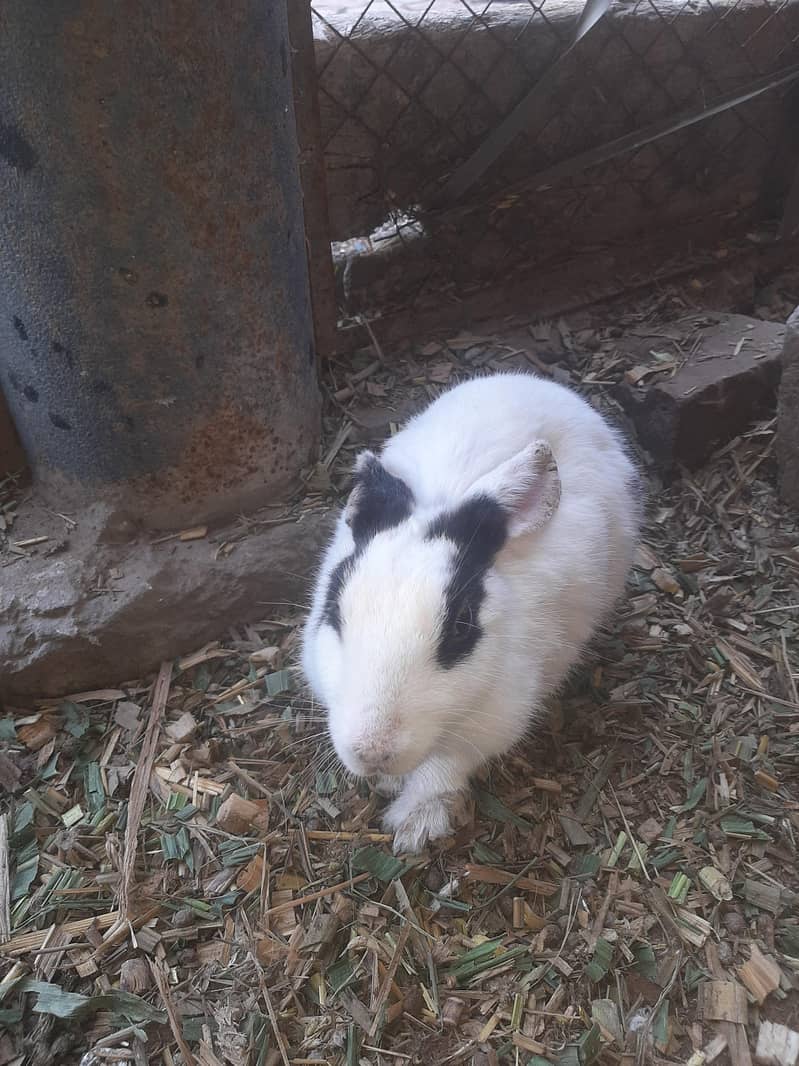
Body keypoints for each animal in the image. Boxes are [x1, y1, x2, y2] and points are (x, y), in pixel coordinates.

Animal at [302, 371, 641, 853]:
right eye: (334, 610)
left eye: (461, 626)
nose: (372, 753)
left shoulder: (492, 720)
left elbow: (445, 766)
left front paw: (414, 827)